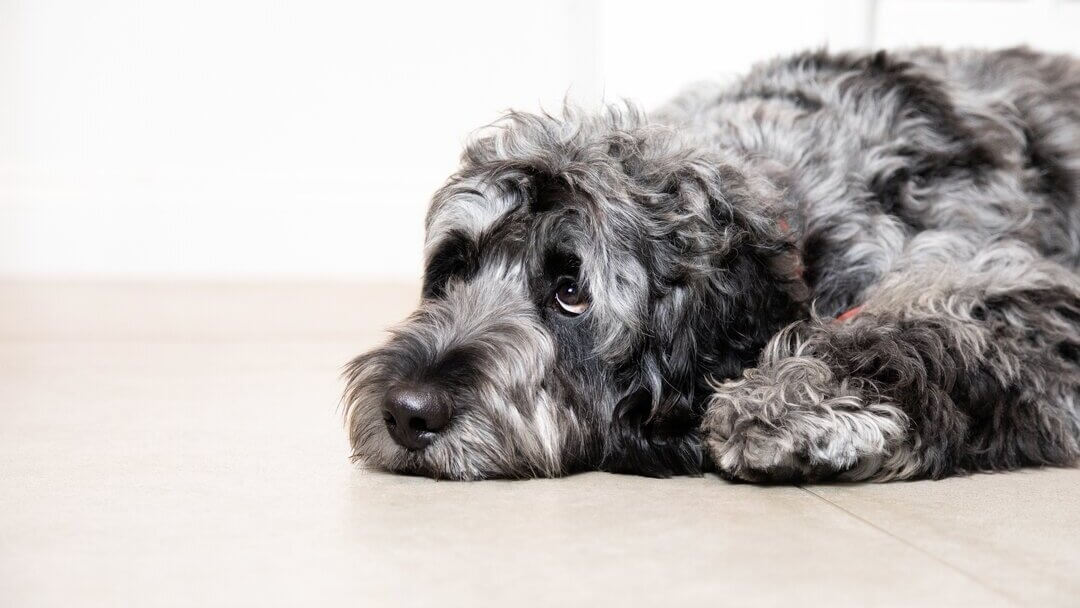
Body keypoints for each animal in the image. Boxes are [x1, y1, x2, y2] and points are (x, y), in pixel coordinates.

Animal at [343, 48, 1080, 485]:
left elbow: (925, 326)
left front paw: (786, 400)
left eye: (571, 292)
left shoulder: (1017, 288)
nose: (405, 411)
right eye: (455, 267)